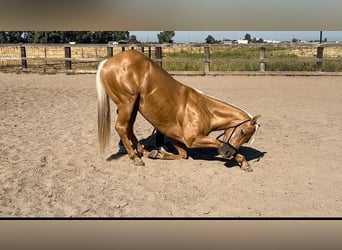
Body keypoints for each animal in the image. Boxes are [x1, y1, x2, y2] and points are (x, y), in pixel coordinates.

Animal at [95, 50, 260, 172]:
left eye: (246, 138)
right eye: (242, 132)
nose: (227, 153)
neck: (204, 110)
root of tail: (107, 62)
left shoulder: (176, 137)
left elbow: (183, 154)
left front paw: (158, 153)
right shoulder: (192, 139)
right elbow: (216, 143)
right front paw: (243, 161)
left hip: (133, 106)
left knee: (129, 127)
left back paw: (143, 152)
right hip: (127, 103)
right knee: (121, 127)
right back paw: (135, 158)